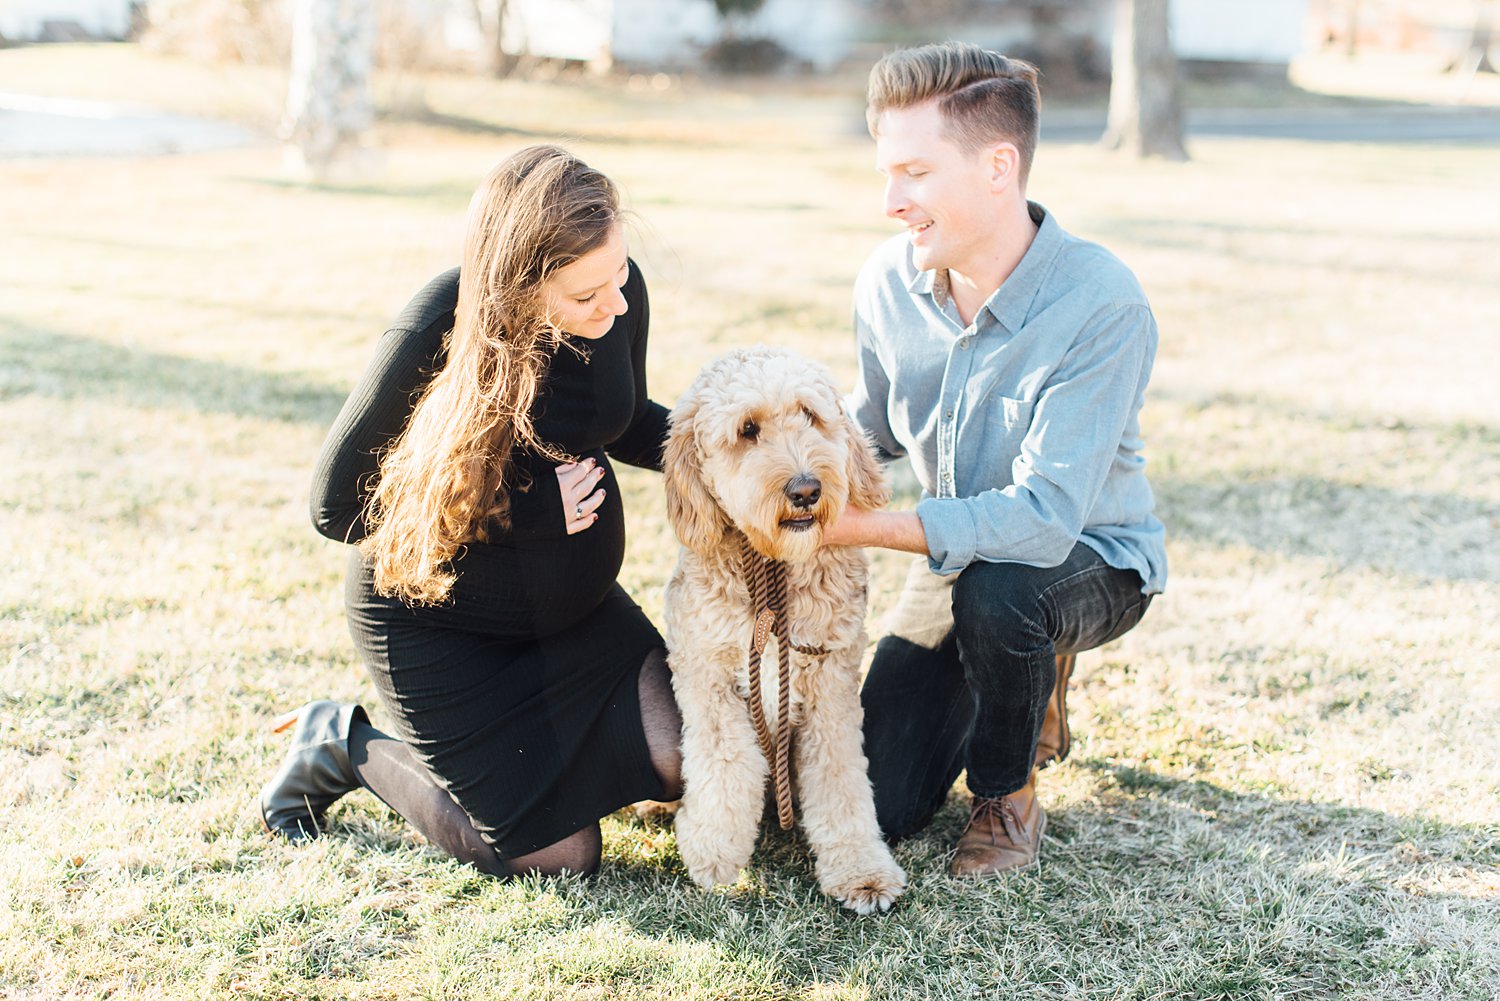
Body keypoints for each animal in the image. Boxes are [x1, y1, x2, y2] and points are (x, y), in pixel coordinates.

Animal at [663, 346, 906, 918]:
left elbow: (840, 777)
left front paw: (862, 870)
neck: (773, 567)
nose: (806, 489)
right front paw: (713, 849)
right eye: (747, 429)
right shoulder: (706, 675)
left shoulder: (831, 687)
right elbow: (725, 762)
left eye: (810, 416)